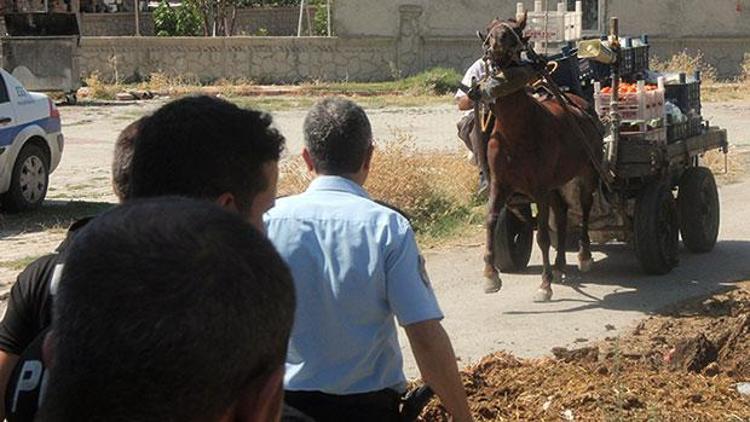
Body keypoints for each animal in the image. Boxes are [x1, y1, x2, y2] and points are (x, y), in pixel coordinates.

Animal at [478, 14, 608, 302]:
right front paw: (491, 275)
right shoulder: (500, 184)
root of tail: (580, 104)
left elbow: (544, 238)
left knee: (583, 210)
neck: (516, 131)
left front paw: (544, 284)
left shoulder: (538, 188)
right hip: (556, 184)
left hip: (587, 173)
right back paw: (559, 265)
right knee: (561, 215)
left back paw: (583, 256)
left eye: (516, 30)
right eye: (490, 30)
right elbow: (491, 220)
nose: (497, 43)